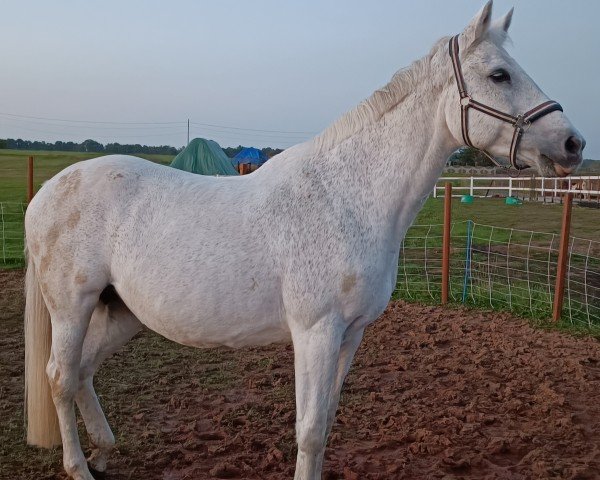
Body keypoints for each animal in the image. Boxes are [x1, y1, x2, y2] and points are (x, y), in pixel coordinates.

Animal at [24, 1, 584, 478]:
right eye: (499, 74)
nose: (573, 143)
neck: (347, 197)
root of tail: (47, 192)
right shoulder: (316, 332)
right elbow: (310, 431)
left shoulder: (351, 333)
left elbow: (329, 421)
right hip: (72, 307)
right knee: (59, 376)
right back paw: (79, 467)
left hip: (121, 312)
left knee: (83, 372)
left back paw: (104, 451)